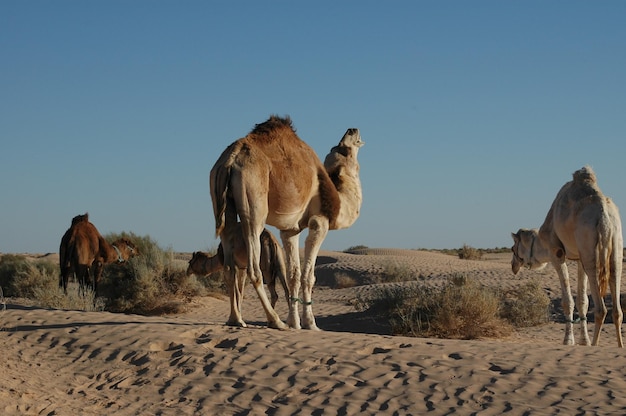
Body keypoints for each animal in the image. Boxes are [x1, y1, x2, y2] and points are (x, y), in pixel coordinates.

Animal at [210, 115, 360, 330]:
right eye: (343, 149)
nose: (352, 130)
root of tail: (231, 158)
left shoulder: (290, 230)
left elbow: (293, 276)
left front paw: (295, 323)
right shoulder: (319, 223)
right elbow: (308, 276)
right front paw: (310, 324)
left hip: (222, 204)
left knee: (229, 263)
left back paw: (236, 319)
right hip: (254, 204)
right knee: (254, 268)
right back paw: (275, 321)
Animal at [510, 167, 620, 348]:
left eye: (513, 248)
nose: (513, 266)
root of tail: (603, 214)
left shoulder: (556, 253)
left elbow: (568, 301)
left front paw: (568, 340)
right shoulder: (579, 258)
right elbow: (582, 301)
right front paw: (583, 341)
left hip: (589, 244)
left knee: (601, 308)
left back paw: (595, 345)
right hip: (615, 241)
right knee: (616, 302)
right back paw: (619, 346)